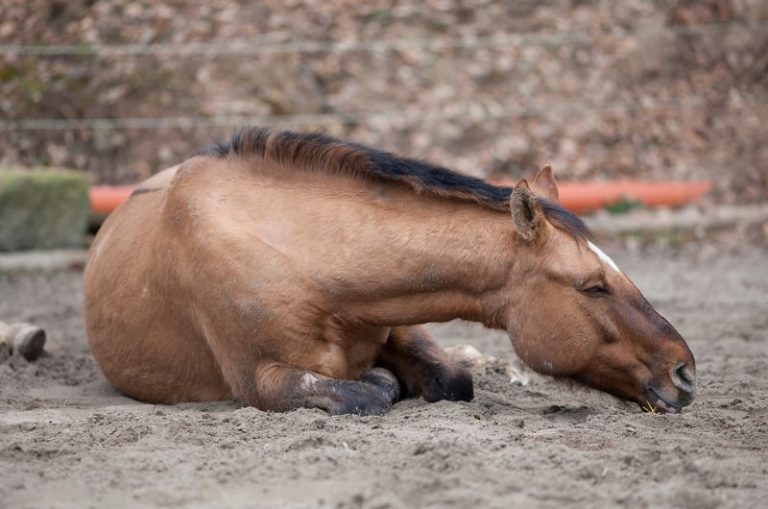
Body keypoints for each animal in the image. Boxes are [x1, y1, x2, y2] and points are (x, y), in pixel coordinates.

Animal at [84, 128, 696, 415]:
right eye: (593, 286)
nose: (685, 372)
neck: (303, 258)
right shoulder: (261, 380)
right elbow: (366, 393)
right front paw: (382, 382)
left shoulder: (400, 319)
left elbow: (452, 379)